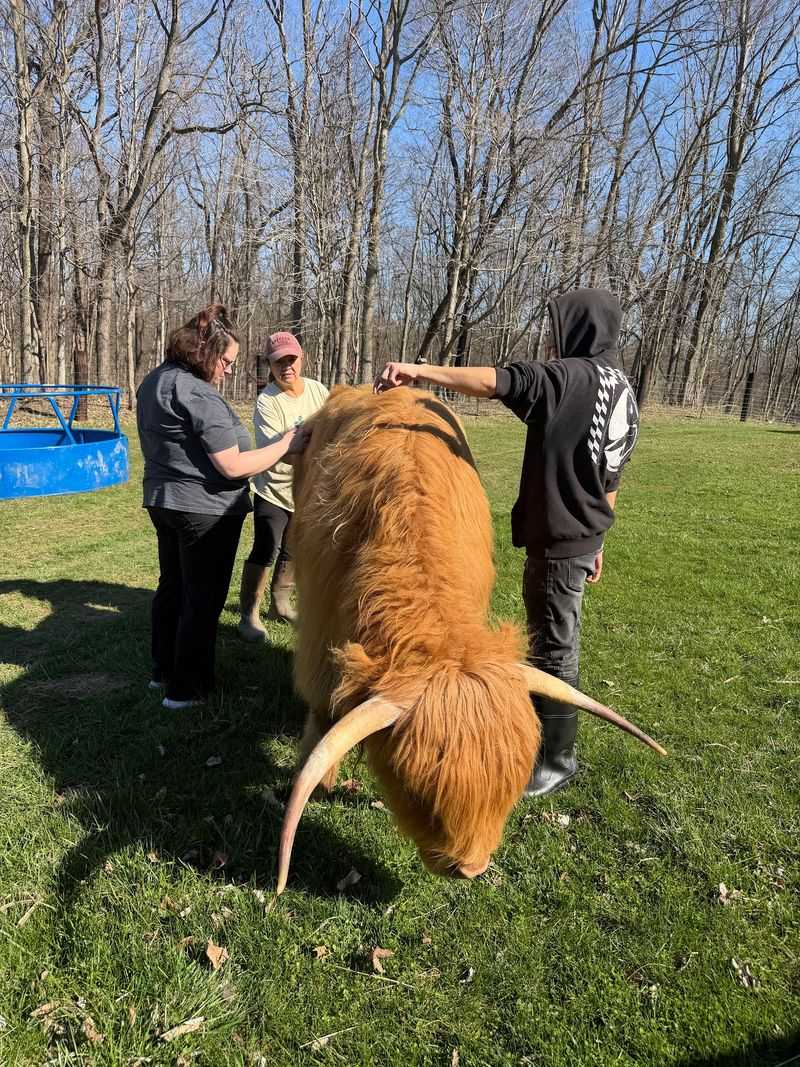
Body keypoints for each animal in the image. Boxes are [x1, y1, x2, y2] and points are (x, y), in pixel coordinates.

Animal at [276, 385, 664, 893]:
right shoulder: (321, 635)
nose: (471, 868)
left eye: (509, 790)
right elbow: (322, 715)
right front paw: (320, 782)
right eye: (417, 793)